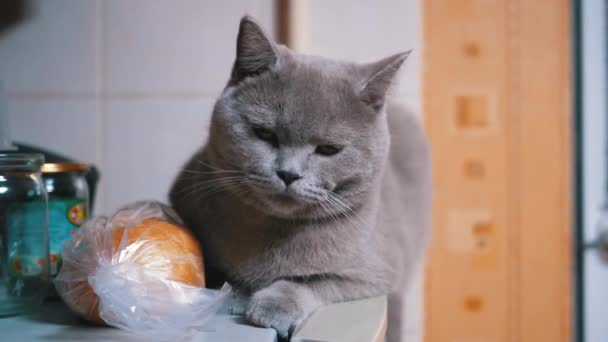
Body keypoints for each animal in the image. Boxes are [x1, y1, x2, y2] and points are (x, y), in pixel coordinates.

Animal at [169, 16, 430, 342]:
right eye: (265, 134)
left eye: (328, 149)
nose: (288, 173)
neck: (273, 231)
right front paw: (233, 293)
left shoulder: (377, 273)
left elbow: (313, 281)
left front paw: (272, 305)